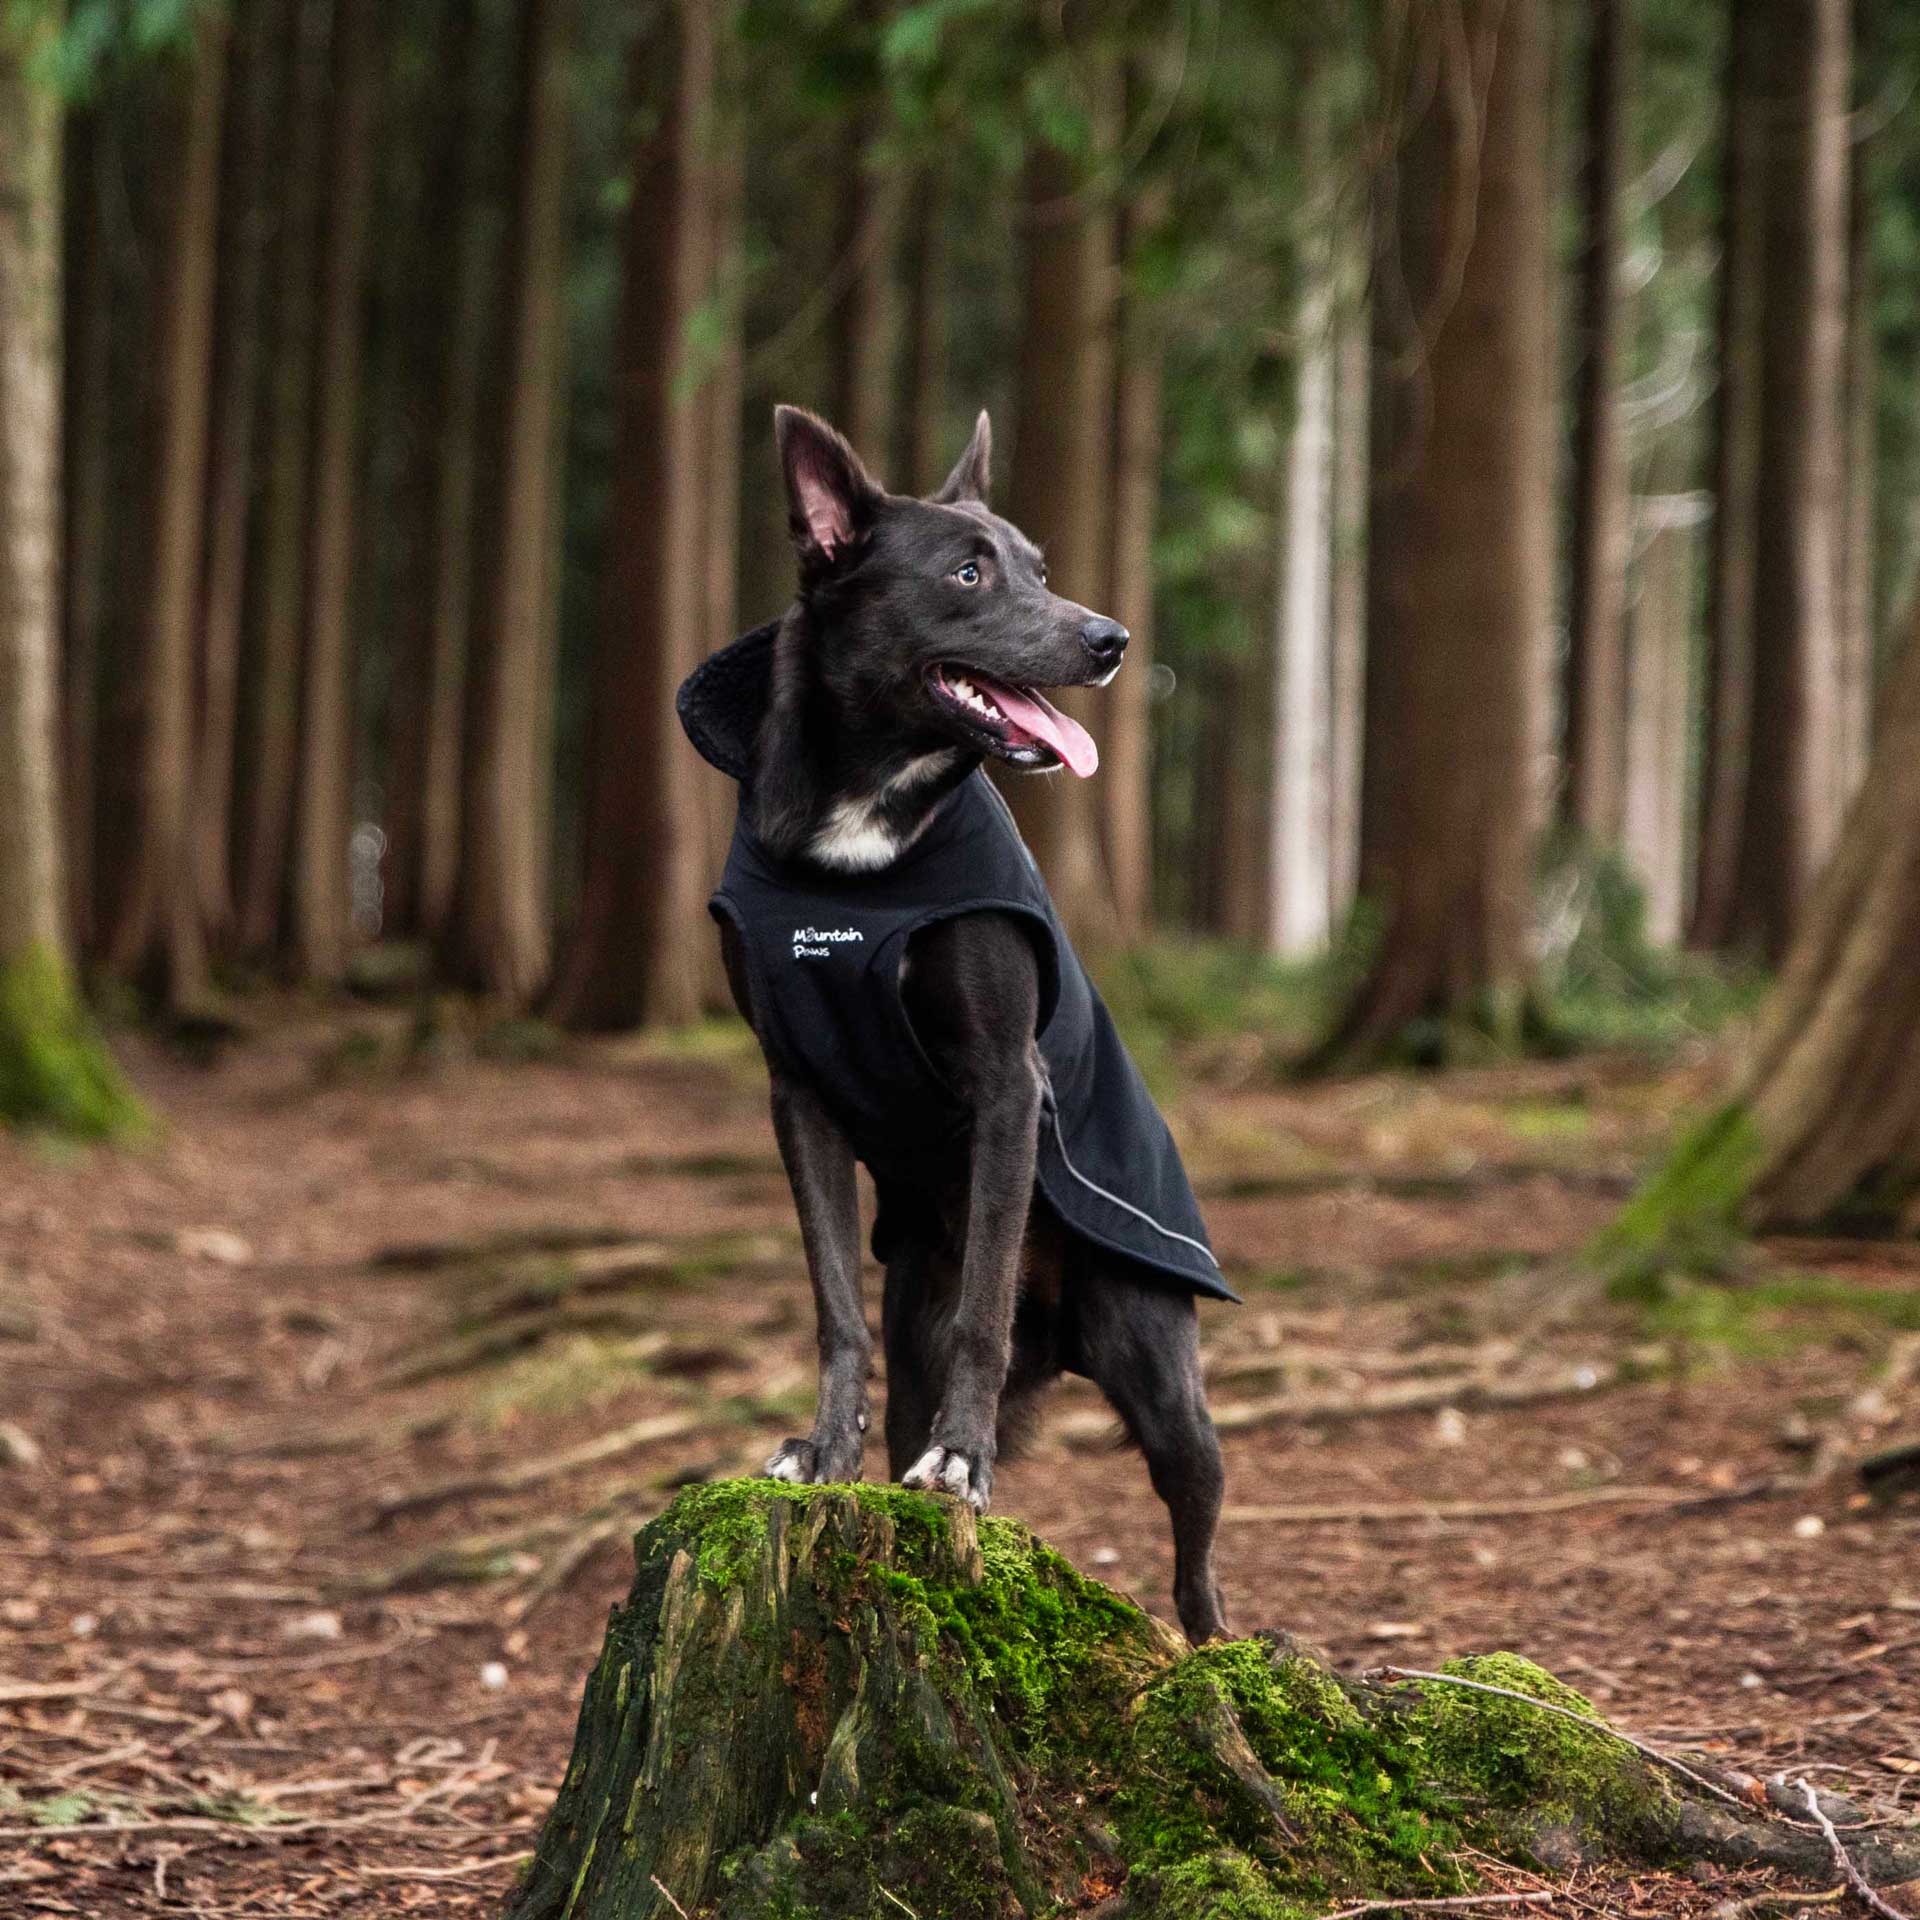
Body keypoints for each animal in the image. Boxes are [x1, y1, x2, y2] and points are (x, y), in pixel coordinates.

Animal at [683, 405, 1236, 1635]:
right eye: (968, 573)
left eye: (1041, 568)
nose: (1112, 639)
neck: (860, 828)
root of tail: (1060, 1335)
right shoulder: (796, 1092)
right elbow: (833, 1302)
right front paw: (818, 1450)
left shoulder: (1006, 1085)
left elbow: (987, 1295)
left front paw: (966, 1463)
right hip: (918, 1328)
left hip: (1159, 1367)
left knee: (1196, 1552)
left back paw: (1222, 1647)